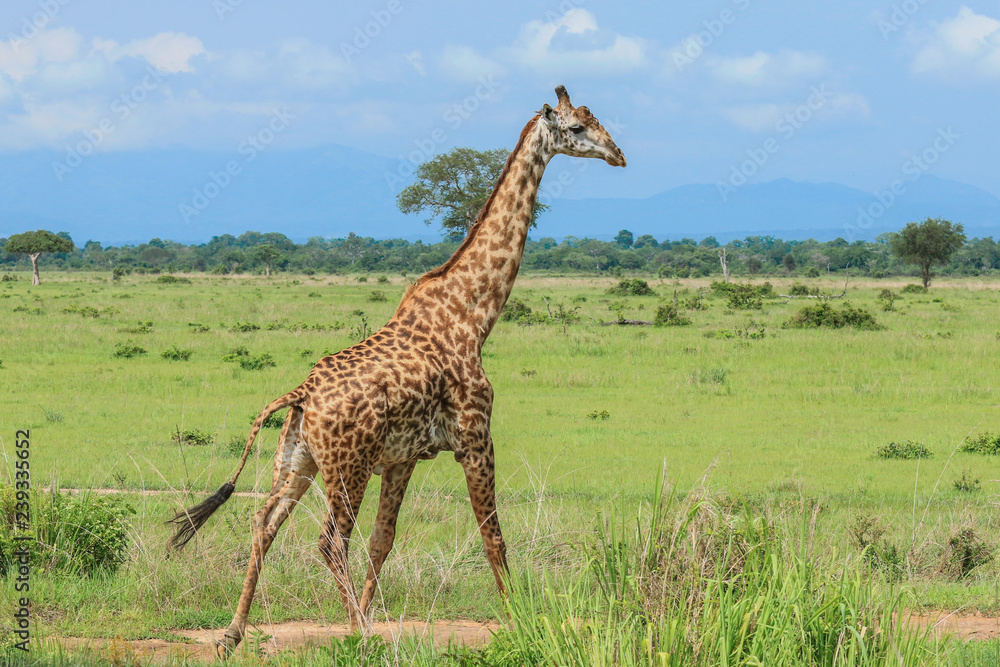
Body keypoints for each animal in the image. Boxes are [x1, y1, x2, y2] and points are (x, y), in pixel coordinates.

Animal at [167, 85, 626, 657]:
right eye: (578, 127)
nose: (618, 155)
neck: (474, 316)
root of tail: (301, 393)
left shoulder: (405, 457)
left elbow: (383, 543)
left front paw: (364, 614)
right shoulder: (476, 438)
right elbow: (493, 536)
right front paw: (522, 623)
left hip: (298, 461)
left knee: (264, 524)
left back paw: (233, 635)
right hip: (348, 467)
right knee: (329, 541)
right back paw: (362, 638)